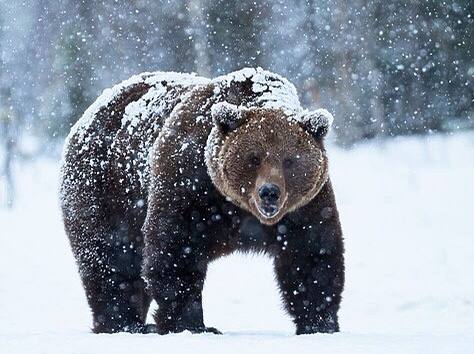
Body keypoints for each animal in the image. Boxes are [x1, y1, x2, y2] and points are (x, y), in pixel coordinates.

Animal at [60, 68, 344, 336]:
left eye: (289, 160)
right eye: (254, 158)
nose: (269, 192)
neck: (238, 208)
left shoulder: (305, 207)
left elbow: (312, 255)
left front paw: (319, 323)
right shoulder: (189, 184)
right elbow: (175, 250)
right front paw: (192, 324)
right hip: (106, 191)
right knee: (111, 260)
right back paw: (124, 323)